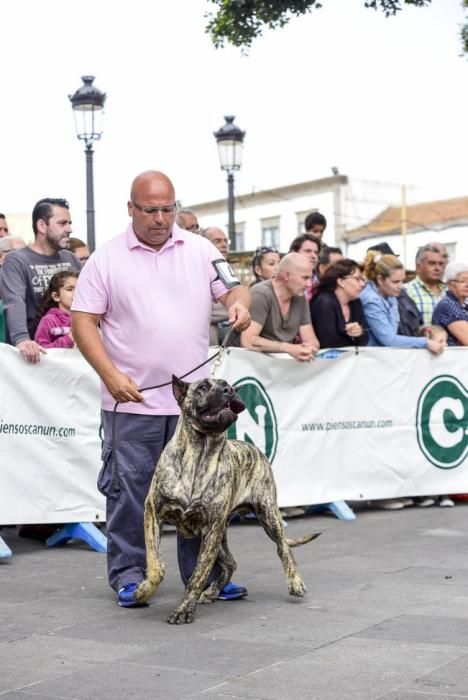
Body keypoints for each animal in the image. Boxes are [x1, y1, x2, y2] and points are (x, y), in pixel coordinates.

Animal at [135, 378, 318, 624]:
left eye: (227, 384)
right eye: (202, 387)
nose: (229, 390)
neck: (201, 451)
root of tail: (253, 448)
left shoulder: (211, 528)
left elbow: (197, 575)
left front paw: (184, 609)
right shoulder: (154, 513)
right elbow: (156, 565)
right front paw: (143, 591)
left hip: (266, 516)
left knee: (283, 549)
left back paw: (295, 583)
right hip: (219, 534)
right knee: (231, 562)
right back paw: (213, 591)